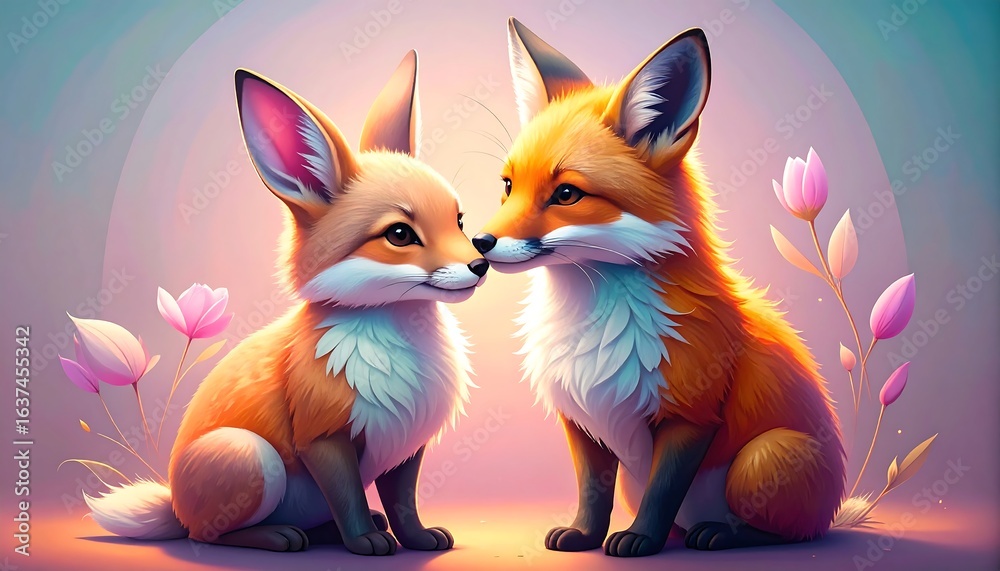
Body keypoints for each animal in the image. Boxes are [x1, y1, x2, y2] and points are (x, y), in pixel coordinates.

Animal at [84, 51, 489, 555]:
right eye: (399, 234)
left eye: (459, 220)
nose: (481, 264)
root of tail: (174, 505)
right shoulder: (322, 437)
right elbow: (349, 496)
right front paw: (365, 542)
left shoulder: (406, 444)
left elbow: (404, 503)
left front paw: (417, 539)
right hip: (253, 459)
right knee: (208, 535)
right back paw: (280, 536)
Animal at [472, 19, 846, 557]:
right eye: (507, 185)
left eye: (566, 194)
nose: (479, 244)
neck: (595, 328)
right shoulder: (580, 416)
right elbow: (592, 490)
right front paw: (585, 535)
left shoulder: (691, 415)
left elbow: (663, 490)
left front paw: (640, 539)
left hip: (761, 460)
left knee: (787, 532)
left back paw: (720, 534)